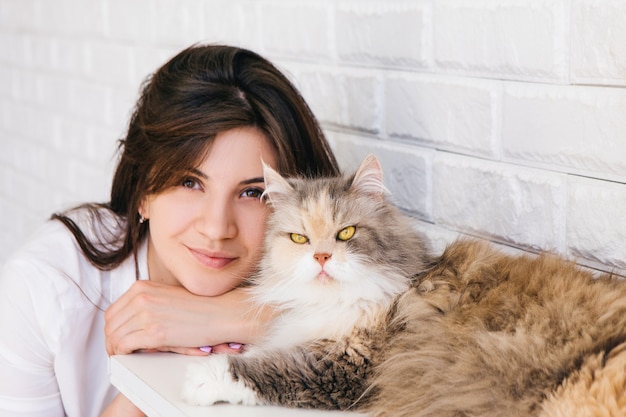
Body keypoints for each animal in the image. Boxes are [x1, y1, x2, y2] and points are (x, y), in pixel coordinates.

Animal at [179, 154, 624, 416]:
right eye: (299, 239)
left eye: (346, 233)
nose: (321, 258)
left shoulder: (350, 364)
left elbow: (266, 367)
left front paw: (198, 378)